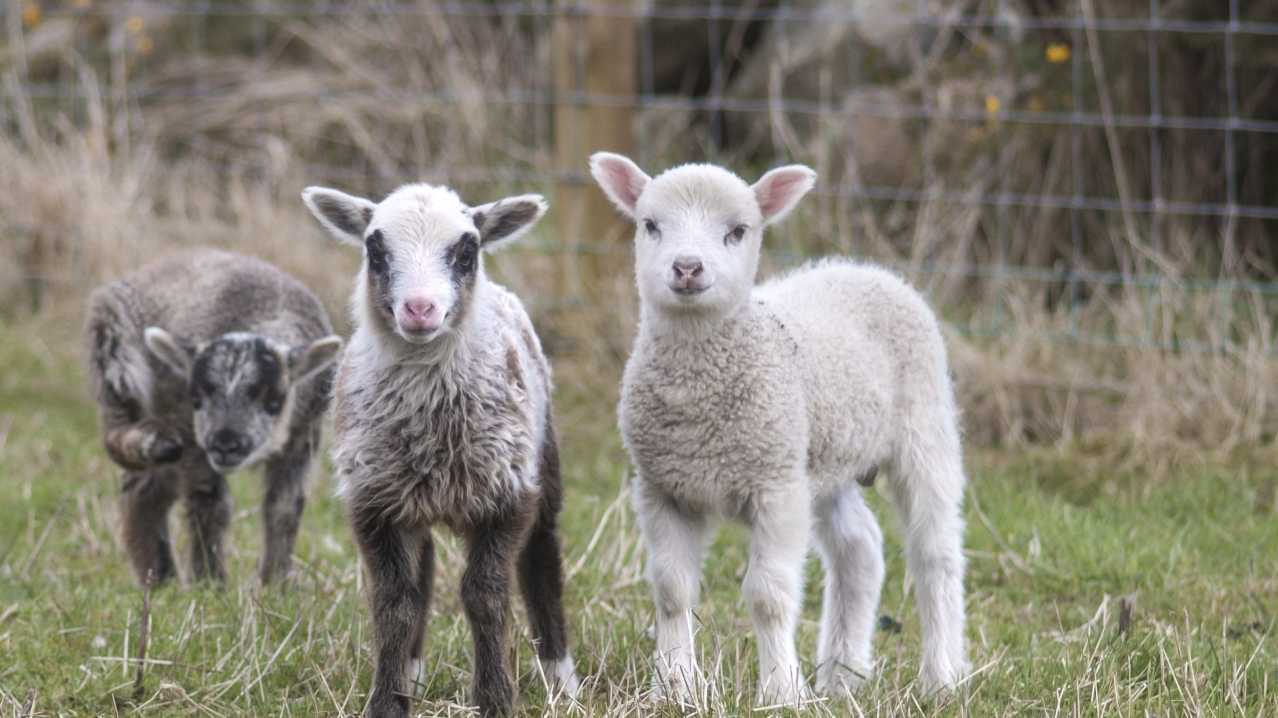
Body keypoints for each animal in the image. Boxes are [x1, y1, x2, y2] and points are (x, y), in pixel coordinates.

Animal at [84, 249, 342, 586]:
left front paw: (276, 583)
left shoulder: (304, 436)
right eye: (197, 398)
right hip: (118, 368)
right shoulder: (192, 436)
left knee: (147, 491)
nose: (225, 445)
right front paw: (210, 582)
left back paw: (161, 579)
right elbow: (210, 502)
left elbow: (285, 507)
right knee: (132, 465)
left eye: (274, 402)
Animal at [301, 182, 579, 718]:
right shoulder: (372, 502)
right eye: (374, 250)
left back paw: (562, 680)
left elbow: (485, 594)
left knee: (541, 561)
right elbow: (395, 602)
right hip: (407, 495)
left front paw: (495, 699)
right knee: (423, 570)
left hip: (542, 458)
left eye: (467, 252)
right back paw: (411, 672)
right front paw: (387, 703)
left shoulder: (507, 495)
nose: (419, 309)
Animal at [589, 153, 970, 703]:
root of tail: (861, 267)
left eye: (738, 231)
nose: (687, 267)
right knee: (859, 548)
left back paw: (941, 675)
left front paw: (780, 691)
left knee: (935, 552)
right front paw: (675, 686)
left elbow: (768, 595)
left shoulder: (776, 488)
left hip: (923, 426)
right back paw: (843, 674)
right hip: (819, 454)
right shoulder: (663, 487)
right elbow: (671, 589)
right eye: (650, 225)